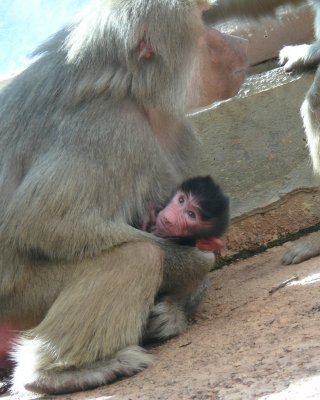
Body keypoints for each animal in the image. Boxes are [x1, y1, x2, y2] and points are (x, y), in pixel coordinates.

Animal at [0, 0, 248, 396]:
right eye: (204, 22)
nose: (239, 40)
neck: (126, 83)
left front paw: (176, 309)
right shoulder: (106, 127)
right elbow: (39, 223)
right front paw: (195, 266)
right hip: (18, 297)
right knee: (136, 255)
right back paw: (58, 375)